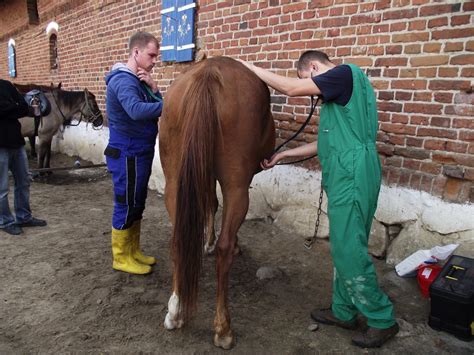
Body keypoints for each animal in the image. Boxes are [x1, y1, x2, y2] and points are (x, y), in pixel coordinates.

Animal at [161, 57, 276, 350]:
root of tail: (209, 72)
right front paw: (223, 243)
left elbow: (210, 204)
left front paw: (207, 241)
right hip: (237, 186)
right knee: (225, 249)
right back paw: (223, 329)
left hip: (174, 181)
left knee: (178, 239)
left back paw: (176, 311)